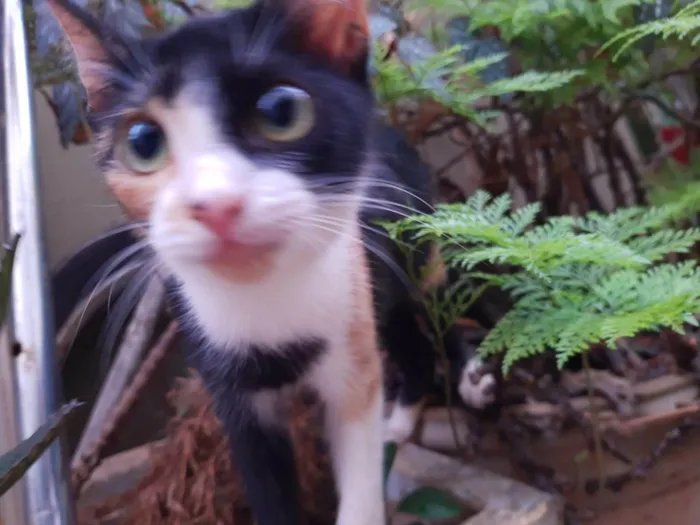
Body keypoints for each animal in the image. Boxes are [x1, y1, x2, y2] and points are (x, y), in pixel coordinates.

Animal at [47, 1, 492, 524]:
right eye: (142, 142)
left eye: (281, 111)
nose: (216, 206)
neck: (266, 302)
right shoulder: (232, 392)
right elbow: (267, 487)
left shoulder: (351, 340)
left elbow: (359, 465)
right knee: (412, 340)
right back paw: (401, 423)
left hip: (409, 249)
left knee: (437, 305)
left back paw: (468, 382)